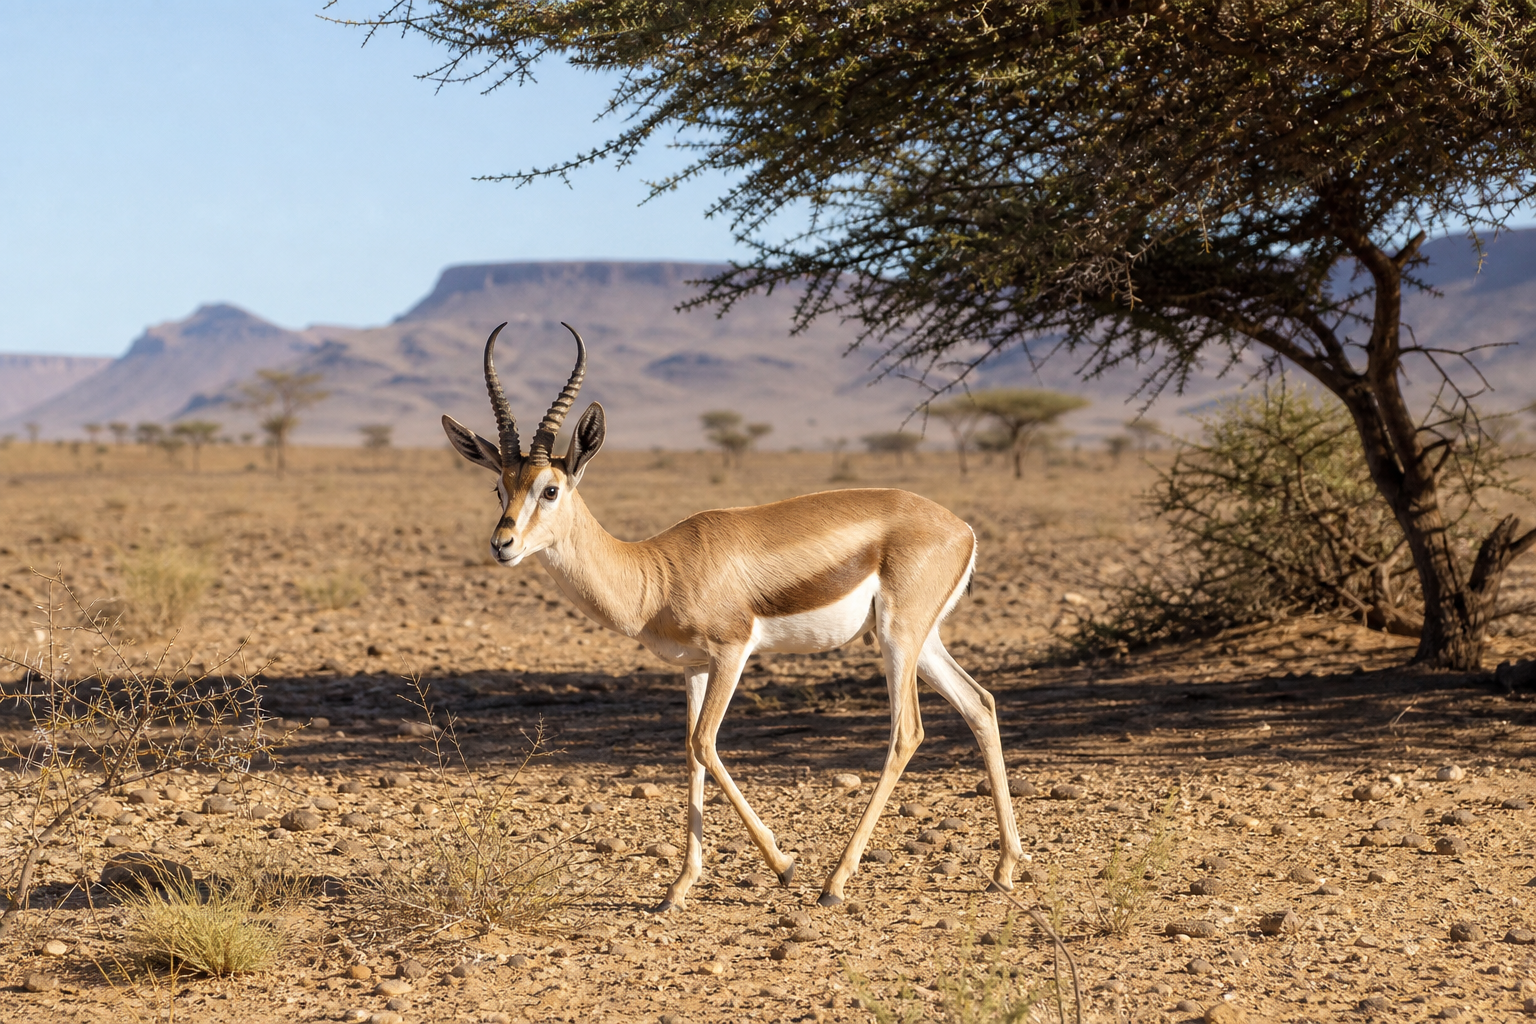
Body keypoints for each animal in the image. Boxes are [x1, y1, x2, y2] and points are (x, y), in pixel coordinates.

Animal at [442, 323, 1025, 910]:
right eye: (499, 487)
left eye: (550, 489)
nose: (502, 544)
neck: (657, 572)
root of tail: (963, 528)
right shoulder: (694, 665)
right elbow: (690, 752)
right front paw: (678, 887)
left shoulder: (732, 651)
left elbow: (705, 742)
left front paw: (785, 865)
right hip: (921, 641)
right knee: (980, 704)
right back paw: (1003, 869)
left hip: (897, 638)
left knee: (906, 732)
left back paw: (835, 883)